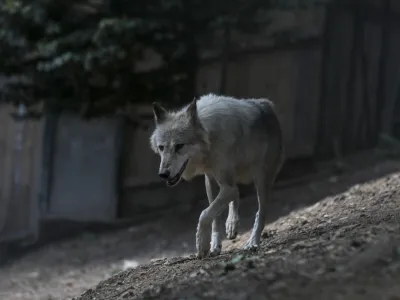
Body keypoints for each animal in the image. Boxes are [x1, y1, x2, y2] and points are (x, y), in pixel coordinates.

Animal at [149, 94, 284, 258]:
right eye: (161, 147)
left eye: (179, 146)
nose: (163, 174)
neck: (210, 138)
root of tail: (267, 104)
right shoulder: (210, 180)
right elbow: (214, 216)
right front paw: (213, 246)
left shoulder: (225, 186)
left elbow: (205, 214)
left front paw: (201, 244)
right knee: (236, 194)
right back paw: (232, 225)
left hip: (261, 179)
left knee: (260, 212)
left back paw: (253, 242)